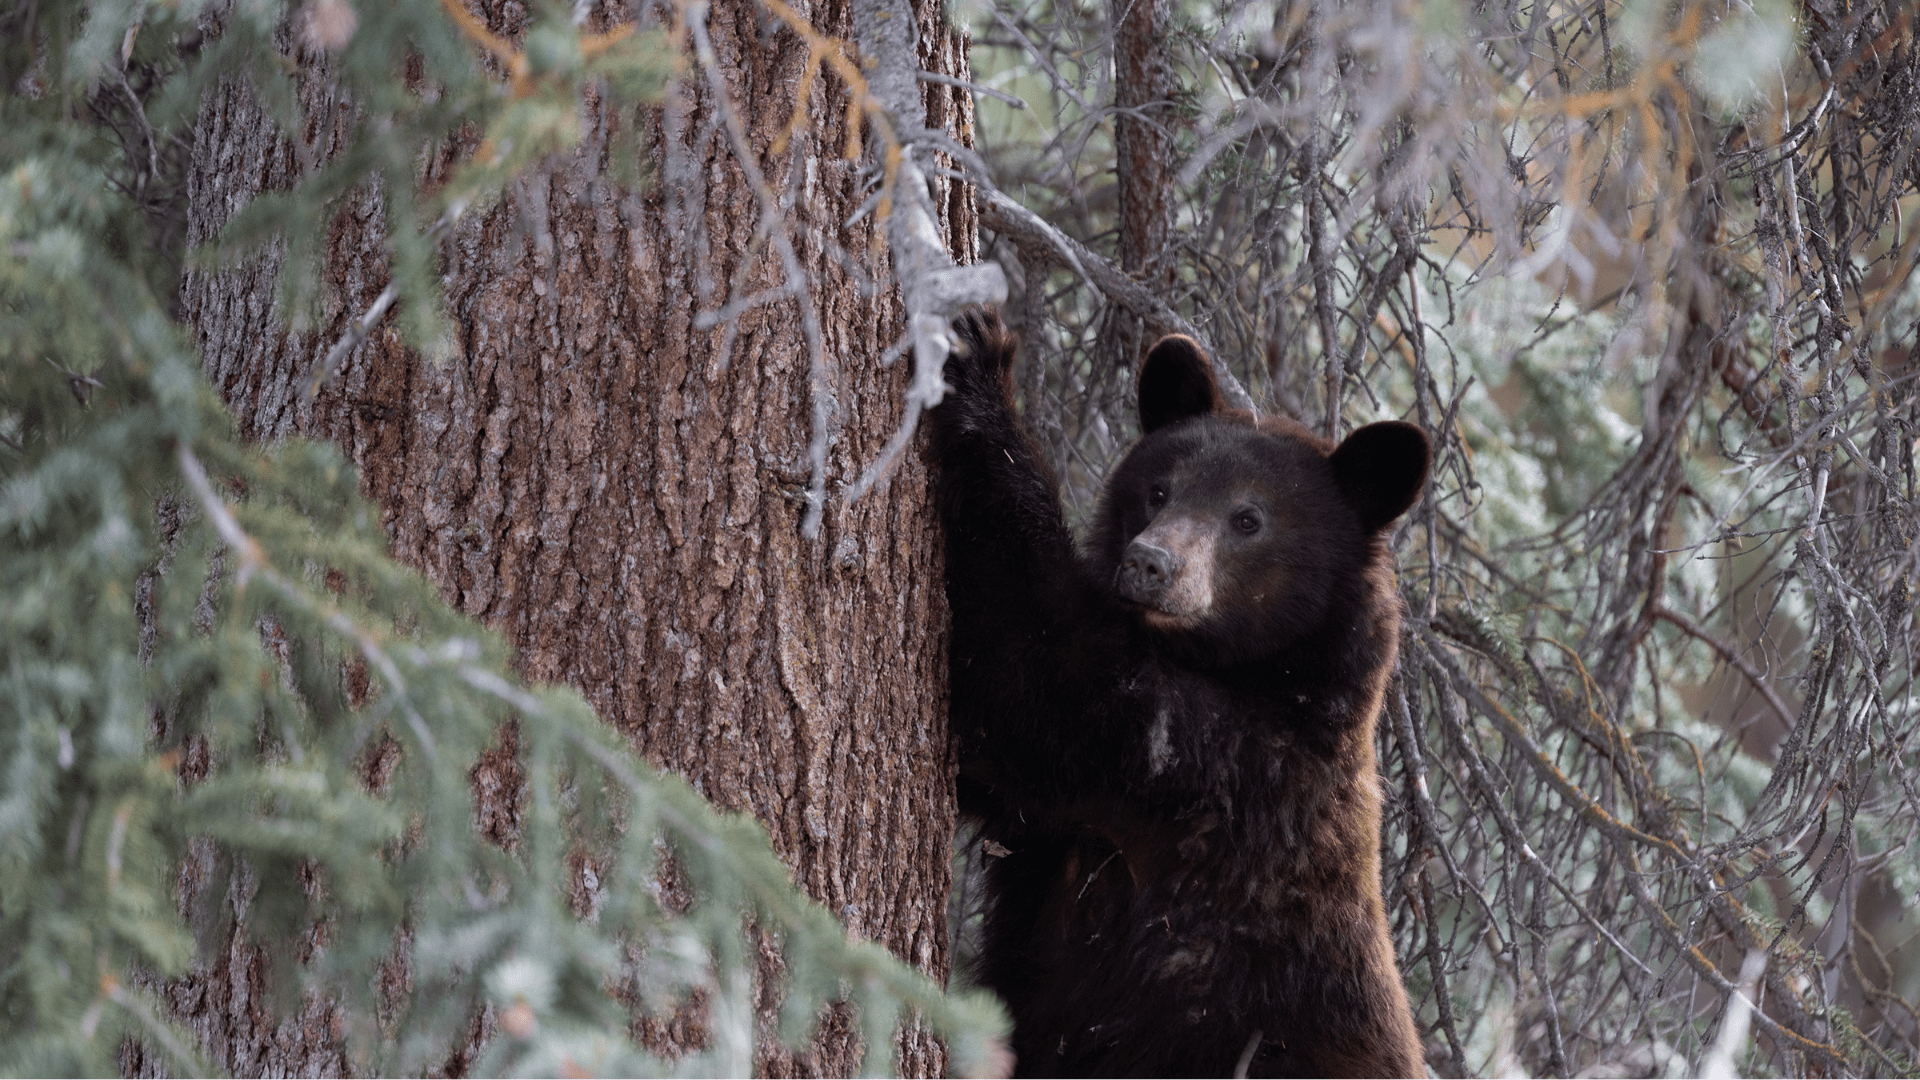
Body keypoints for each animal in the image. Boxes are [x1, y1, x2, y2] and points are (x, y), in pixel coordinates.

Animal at [928, 308, 1431, 1078]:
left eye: (1248, 519)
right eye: (1159, 489)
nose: (1150, 563)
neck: (1264, 677)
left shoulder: (1217, 770)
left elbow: (1037, 678)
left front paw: (980, 366)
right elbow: (988, 762)